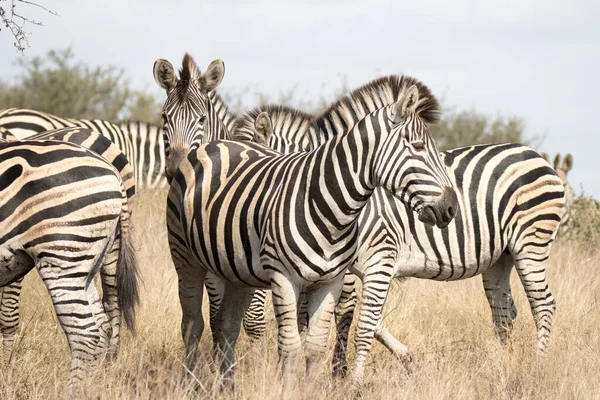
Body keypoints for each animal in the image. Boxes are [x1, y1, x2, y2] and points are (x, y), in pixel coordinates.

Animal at [166, 72, 458, 390]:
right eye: (417, 147)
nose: (452, 207)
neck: (329, 206)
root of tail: (210, 146)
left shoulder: (332, 280)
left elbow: (316, 343)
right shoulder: (286, 277)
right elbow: (292, 344)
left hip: (234, 271)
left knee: (226, 325)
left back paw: (227, 387)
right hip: (187, 259)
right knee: (193, 323)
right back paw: (190, 383)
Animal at [236, 104, 568, 386]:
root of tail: (534, 154)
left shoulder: (376, 259)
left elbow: (361, 320)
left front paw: (349, 379)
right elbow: (358, 318)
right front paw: (406, 360)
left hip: (531, 243)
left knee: (543, 304)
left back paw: (537, 369)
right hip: (500, 257)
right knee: (504, 312)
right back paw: (499, 366)